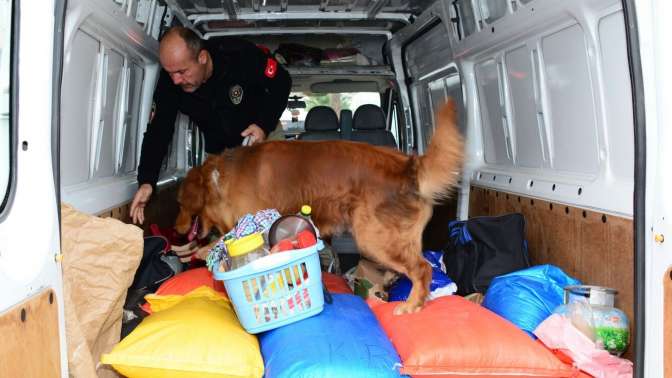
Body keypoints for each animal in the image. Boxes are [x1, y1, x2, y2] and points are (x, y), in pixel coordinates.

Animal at [176, 100, 464, 314]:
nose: (176, 230)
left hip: (374, 238)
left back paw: (411, 305)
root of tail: (408, 165)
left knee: (422, 269)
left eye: (180, 203)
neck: (220, 179)